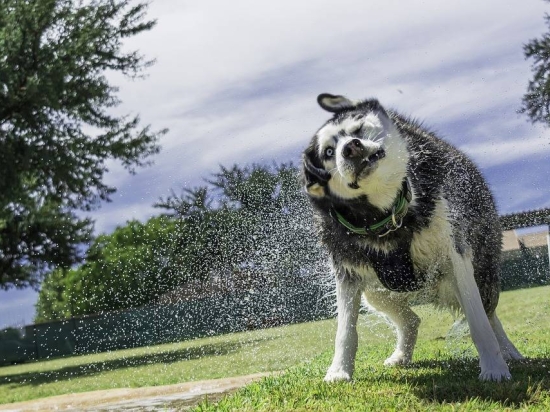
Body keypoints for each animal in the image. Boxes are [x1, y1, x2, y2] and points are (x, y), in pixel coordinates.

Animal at [304, 94, 524, 384]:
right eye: (328, 152)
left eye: (357, 129)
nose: (350, 148)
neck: (386, 218)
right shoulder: (347, 271)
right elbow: (345, 330)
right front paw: (339, 372)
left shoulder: (454, 254)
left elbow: (478, 321)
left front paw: (494, 369)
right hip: (376, 292)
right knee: (411, 320)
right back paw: (401, 356)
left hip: (482, 269)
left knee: (489, 312)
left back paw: (509, 352)